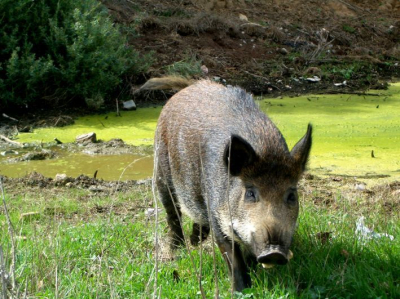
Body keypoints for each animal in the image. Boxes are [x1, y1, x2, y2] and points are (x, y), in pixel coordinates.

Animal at [151, 78, 312, 292]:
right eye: (250, 193)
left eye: (291, 195)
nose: (274, 252)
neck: (266, 148)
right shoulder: (216, 210)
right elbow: (232, 256)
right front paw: (241, 290)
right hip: (161, 173)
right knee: (173, 214)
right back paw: (178, 248)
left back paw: (195, 242)